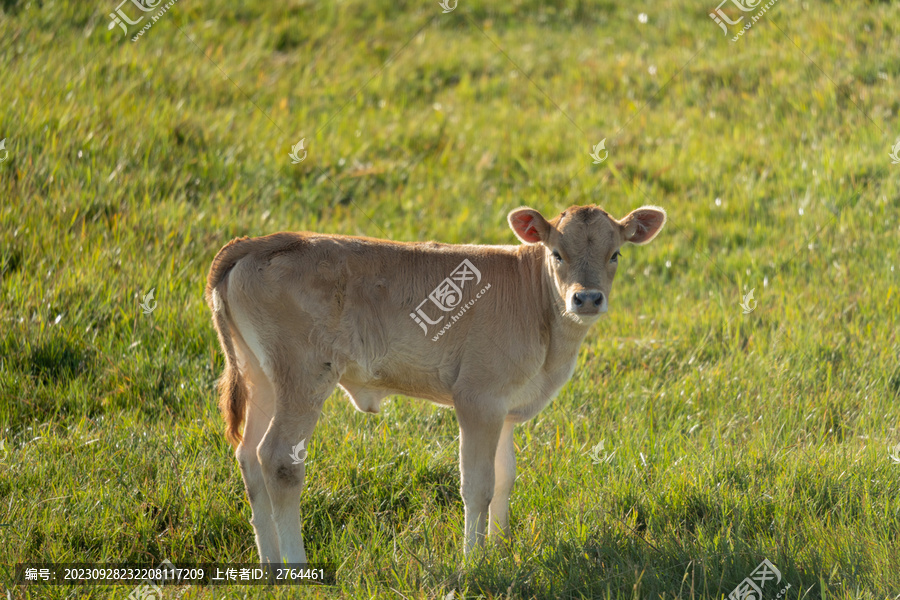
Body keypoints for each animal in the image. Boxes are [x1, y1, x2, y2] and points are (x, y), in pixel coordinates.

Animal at [207, 203, 664, 564]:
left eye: (615, 254)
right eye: (556, 253)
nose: (586, 299)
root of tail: (259, 242)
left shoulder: (505, 408)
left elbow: (504, 478)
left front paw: (500, 549)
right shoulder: (478, 397)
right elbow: (478, 485)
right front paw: (475, 561)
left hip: (261, 375)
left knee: (248, 455)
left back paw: (269, 566)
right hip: (302, 374)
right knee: (279, 460)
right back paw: (294, 566)